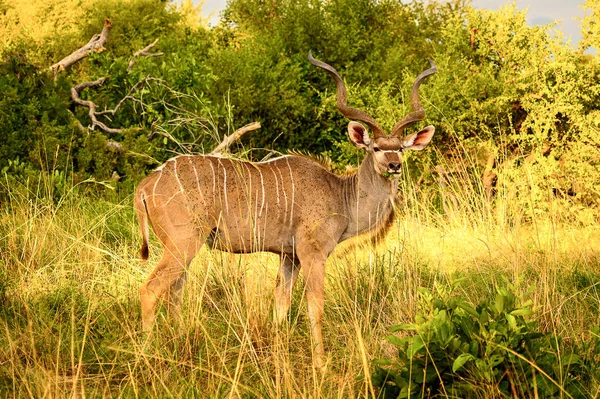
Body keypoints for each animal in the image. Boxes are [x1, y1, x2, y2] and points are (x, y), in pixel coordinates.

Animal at [135, 52, 436, 366]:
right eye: (376, 148)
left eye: (400, 148)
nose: (394, 165)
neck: (340, 194)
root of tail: (146, 185)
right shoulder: (312, 253)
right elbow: (315, 305)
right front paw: (320, 363)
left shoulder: (289, 257)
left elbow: (281, 304)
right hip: (183, 243)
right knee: (150, 289)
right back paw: (145, 353)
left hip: (185, 248)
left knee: (175, 292)